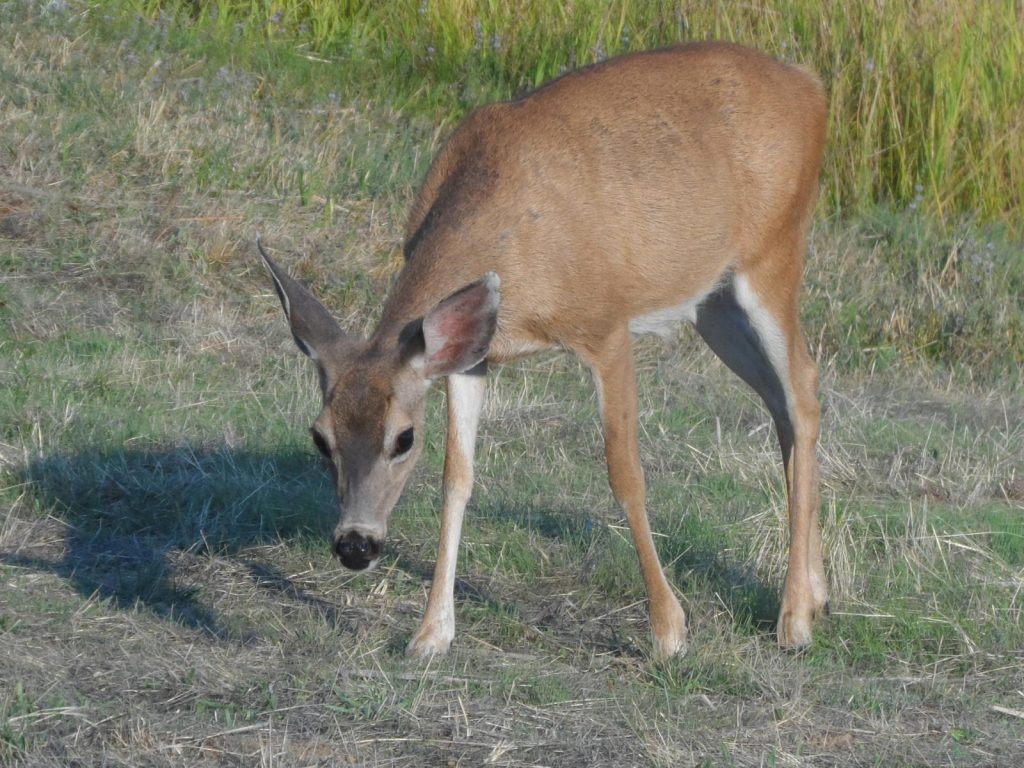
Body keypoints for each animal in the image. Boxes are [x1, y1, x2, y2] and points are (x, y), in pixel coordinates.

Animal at [260, 41, 827, 663]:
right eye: (320, 437)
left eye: (403, 438)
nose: (355, 546)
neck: (516, 239)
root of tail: (809, 84)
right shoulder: (473, 355)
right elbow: (457, 477)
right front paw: (431, 633)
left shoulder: (606, 325)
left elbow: (624, 472)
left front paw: (669, 630)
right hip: (714, 303)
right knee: (786, 398)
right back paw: (817, 595)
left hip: (774, 254)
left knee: (802, 392)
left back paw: (795, 619)